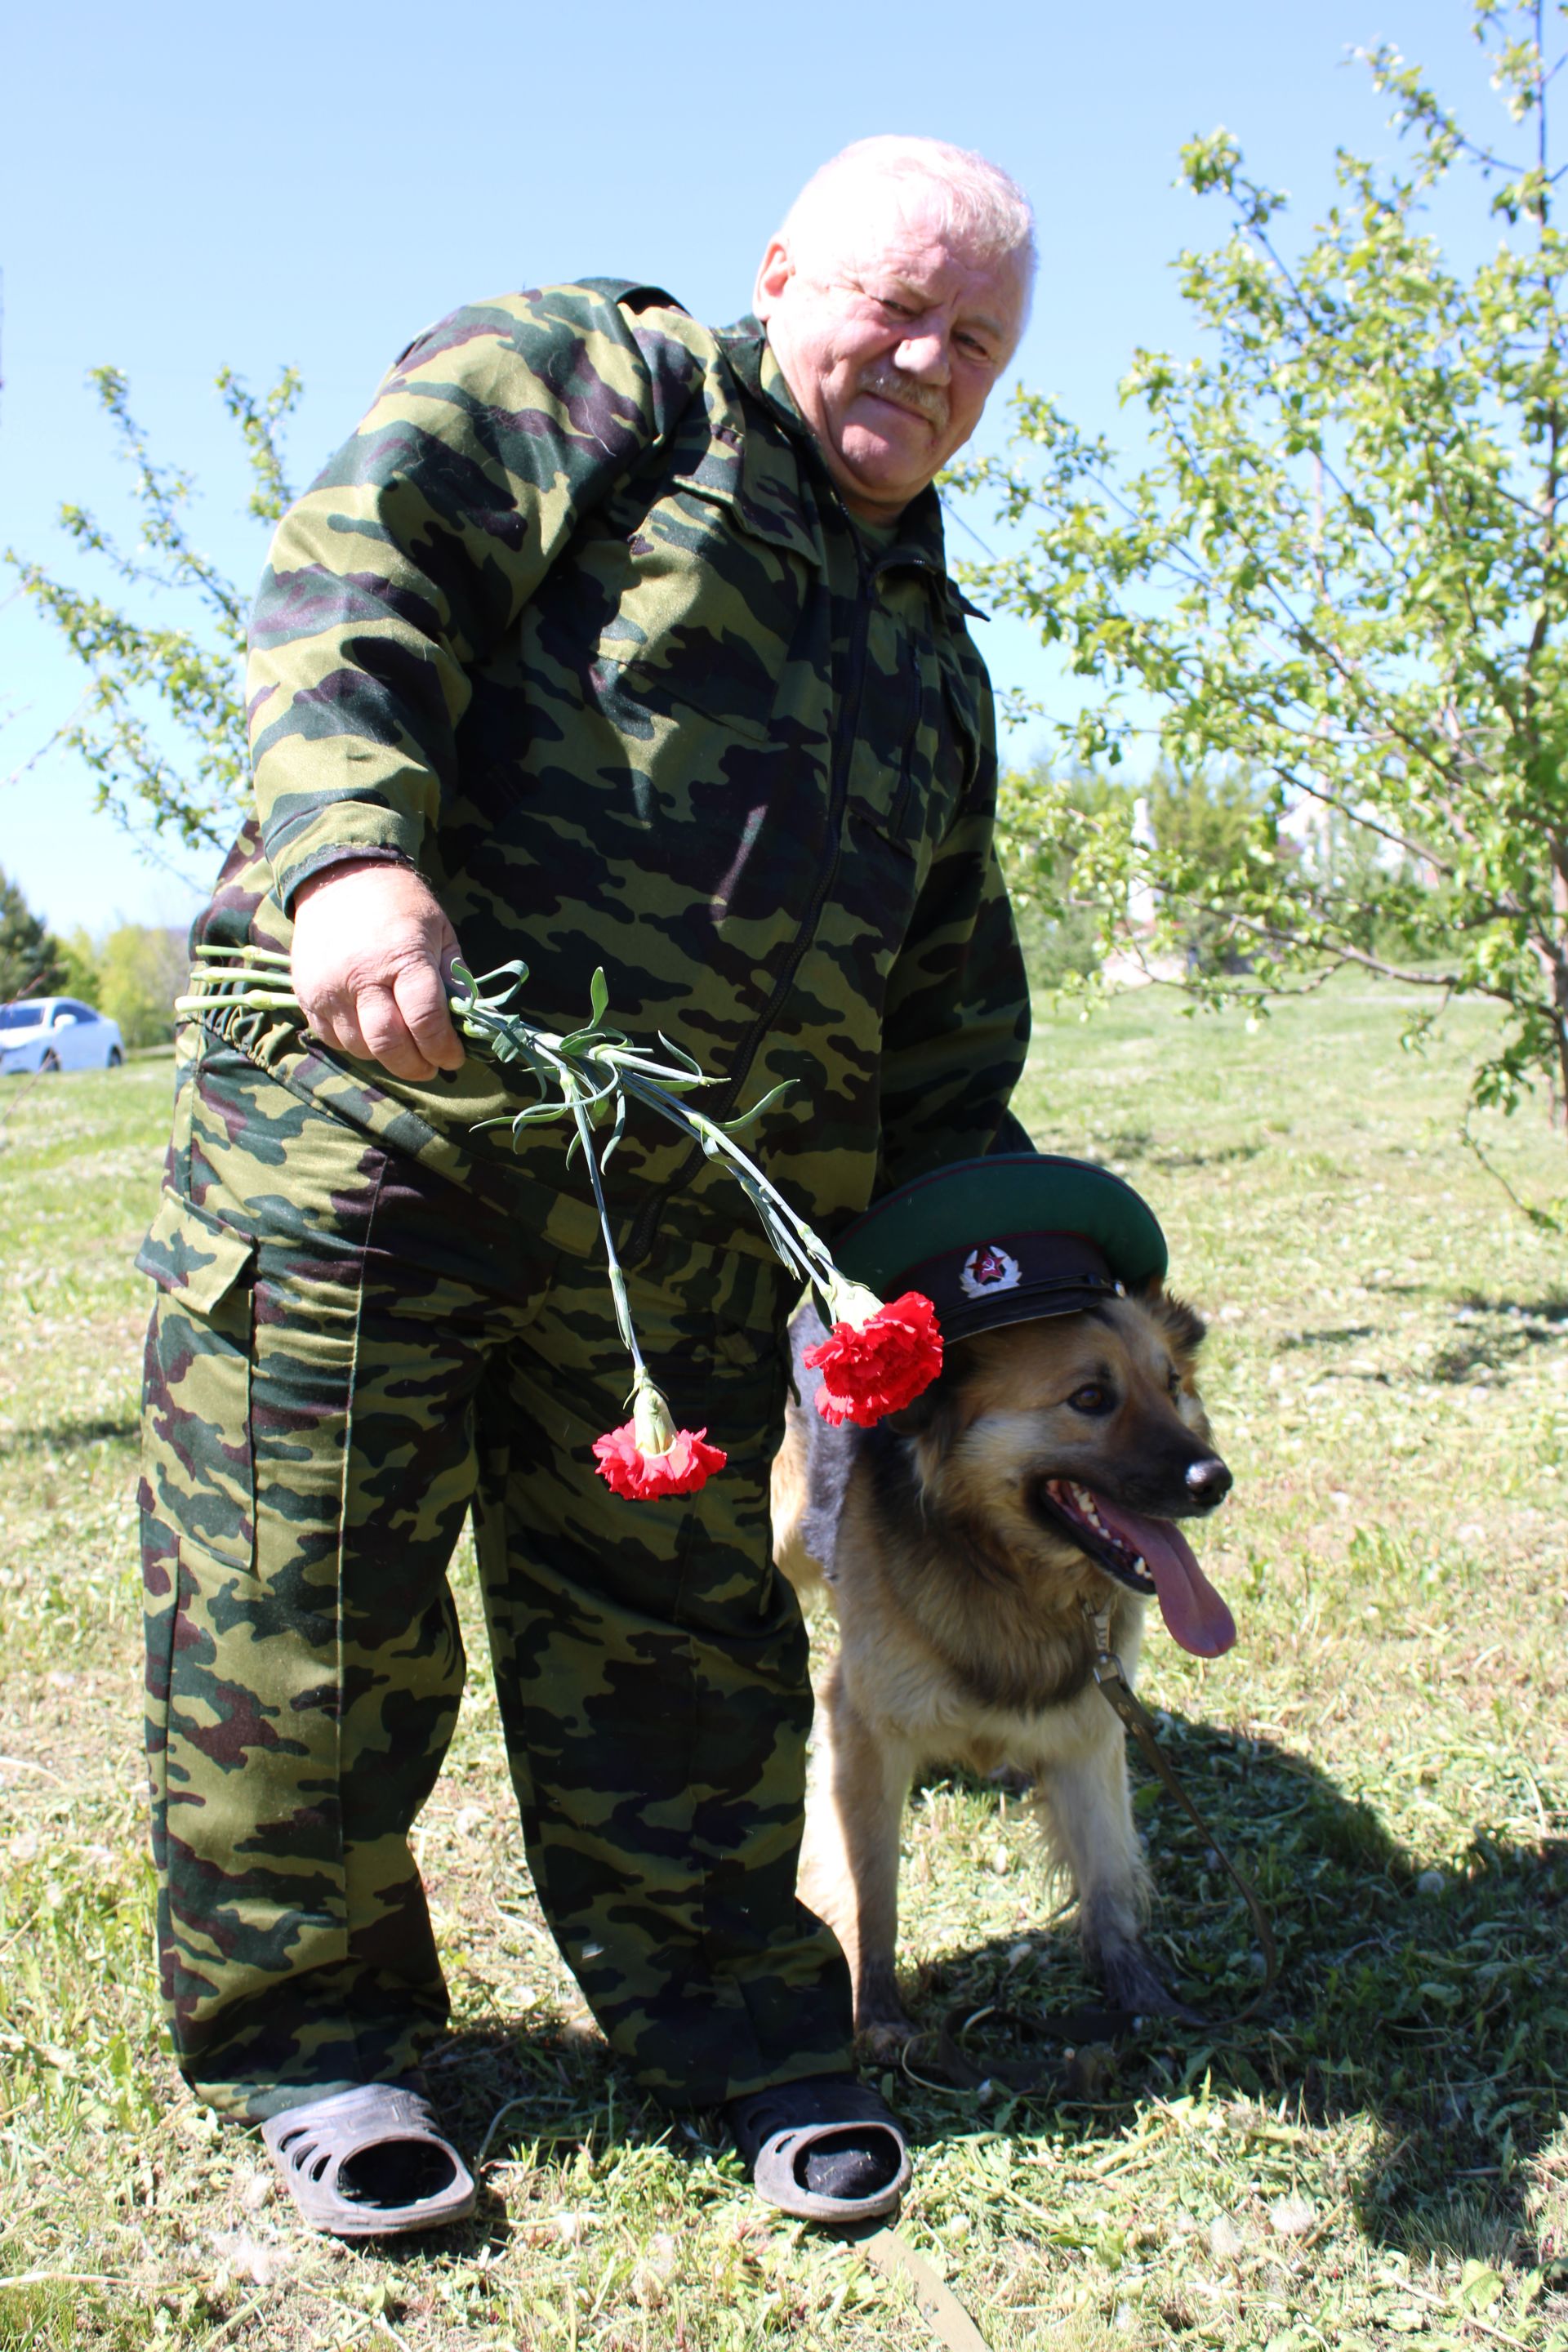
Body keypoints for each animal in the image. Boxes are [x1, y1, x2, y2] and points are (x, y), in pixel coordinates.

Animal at [771, 1289, 1241, 2041]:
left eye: (1172, 1386)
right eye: (1090, 1397)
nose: (1216, 1480)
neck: (1005, 1573)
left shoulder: (1093, 1723)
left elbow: (1108, 1874)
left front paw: (1142, 1999)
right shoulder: (862, 1729)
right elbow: (866, 1879)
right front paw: (875, 2011)